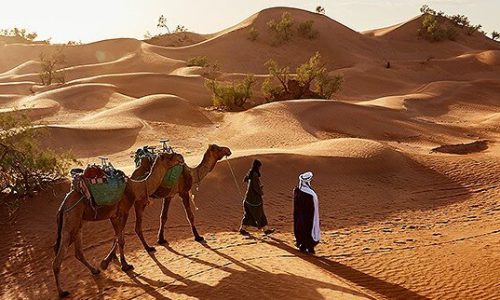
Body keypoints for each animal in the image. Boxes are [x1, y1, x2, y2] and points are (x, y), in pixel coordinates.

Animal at [52, 152, 184, 298]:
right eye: (168, 157)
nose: (180, 157)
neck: (134, 187)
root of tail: (63, 206)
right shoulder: (124, 211)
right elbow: (121, 239)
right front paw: (125, 265)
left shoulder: (114, 215)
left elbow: (117, 236)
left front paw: (108, 261)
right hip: (71, 221)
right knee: (58, 258)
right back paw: (62, 292)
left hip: (78, 223)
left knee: (78, 252)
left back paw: (95, 270)